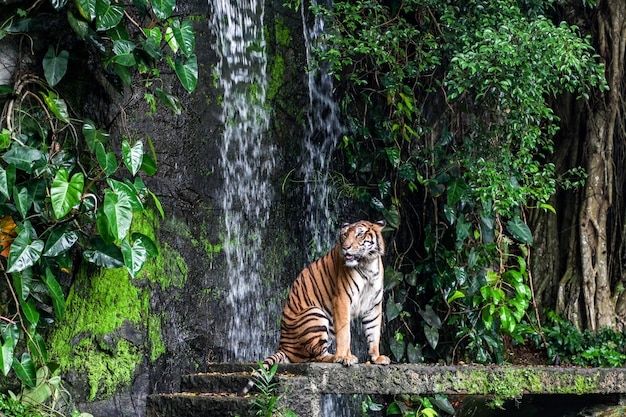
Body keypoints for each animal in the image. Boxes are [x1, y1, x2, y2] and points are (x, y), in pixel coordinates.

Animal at [238, 219, 388, 394]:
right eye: (345, 234)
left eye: (359, 234)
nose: (346, 247)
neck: (368, 263)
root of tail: (283, 346)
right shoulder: (342, 299)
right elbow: (345, 332)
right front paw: (344, 357)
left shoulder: (374, 304)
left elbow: (373, 332)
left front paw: (377, 357)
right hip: (316, 313)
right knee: (315, 356)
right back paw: (335, 357)